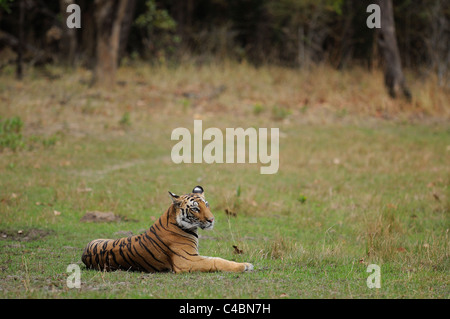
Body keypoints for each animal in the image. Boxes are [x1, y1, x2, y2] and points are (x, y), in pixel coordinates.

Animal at [81, 186, 253, 274]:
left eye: (207, 205)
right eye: (195, 209)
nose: (212, 220)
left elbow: (216, 258)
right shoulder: (186, 261)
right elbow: (217, 261)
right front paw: (244, 266)